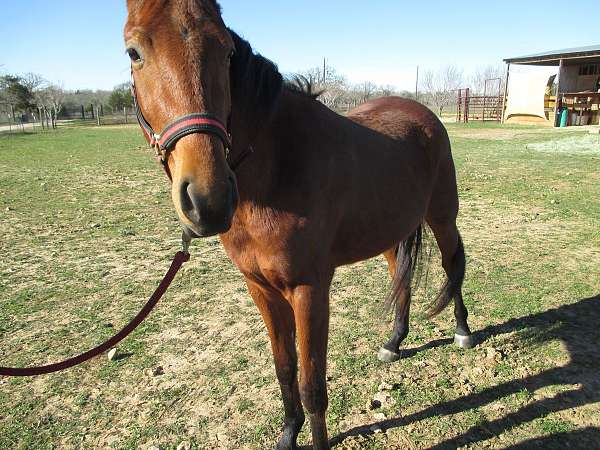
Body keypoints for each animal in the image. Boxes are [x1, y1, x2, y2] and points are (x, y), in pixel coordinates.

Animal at [125, 1, 474, 448]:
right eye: (134, 52)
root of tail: (424, 114)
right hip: (390, 232)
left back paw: (463, 331)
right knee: (402, 275)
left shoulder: (309, 291)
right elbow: (284, 370)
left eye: (226, 52)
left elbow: (312, 387)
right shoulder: (262, 290)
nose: (208, 199)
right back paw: (394, 341)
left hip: (442, 216)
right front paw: (288, 433)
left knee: (453, 265)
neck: (277, 169)